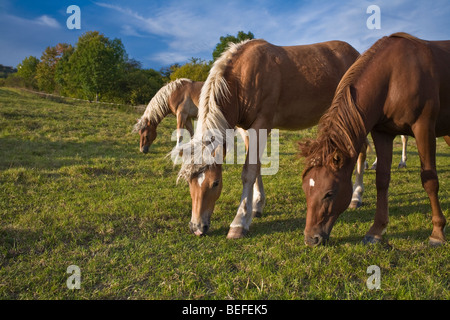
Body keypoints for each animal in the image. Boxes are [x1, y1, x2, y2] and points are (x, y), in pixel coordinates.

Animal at [177, 38, 362, 239]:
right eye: (189, 181)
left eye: (215, 183)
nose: (196, 227)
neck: (242, 78)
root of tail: (356, 53)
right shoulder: (245, 129)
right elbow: (256, 168)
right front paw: (256, 206)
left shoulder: (261, 124)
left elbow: (249, 172)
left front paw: (239, 223)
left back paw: (356, 196)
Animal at [298, 33, 450, 248]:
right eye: (305, 190)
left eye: (329, 193)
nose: (311, 239)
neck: (394, 76)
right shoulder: (382, 133)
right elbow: (382, 180)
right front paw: (376, 231)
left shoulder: (424, 128)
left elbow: (430, 180)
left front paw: (437, 232)